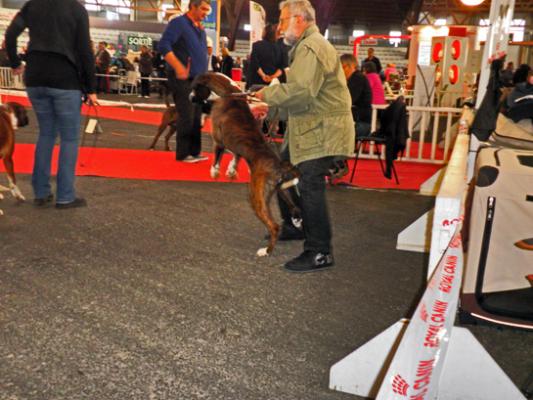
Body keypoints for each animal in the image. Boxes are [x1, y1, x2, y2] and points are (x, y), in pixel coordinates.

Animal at [191, 72, 302, 256]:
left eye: (194, 87)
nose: (190, 98)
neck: (228, 92)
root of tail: (278, 166)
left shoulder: (219, 141)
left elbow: (217, 157)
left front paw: (215, 172)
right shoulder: (235, 146)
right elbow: (236, 157)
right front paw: (231, 171)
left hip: (257, 197)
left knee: (274, 226)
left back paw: (266, 251)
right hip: (280, 190)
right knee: (294, 206)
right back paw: (297, 220)